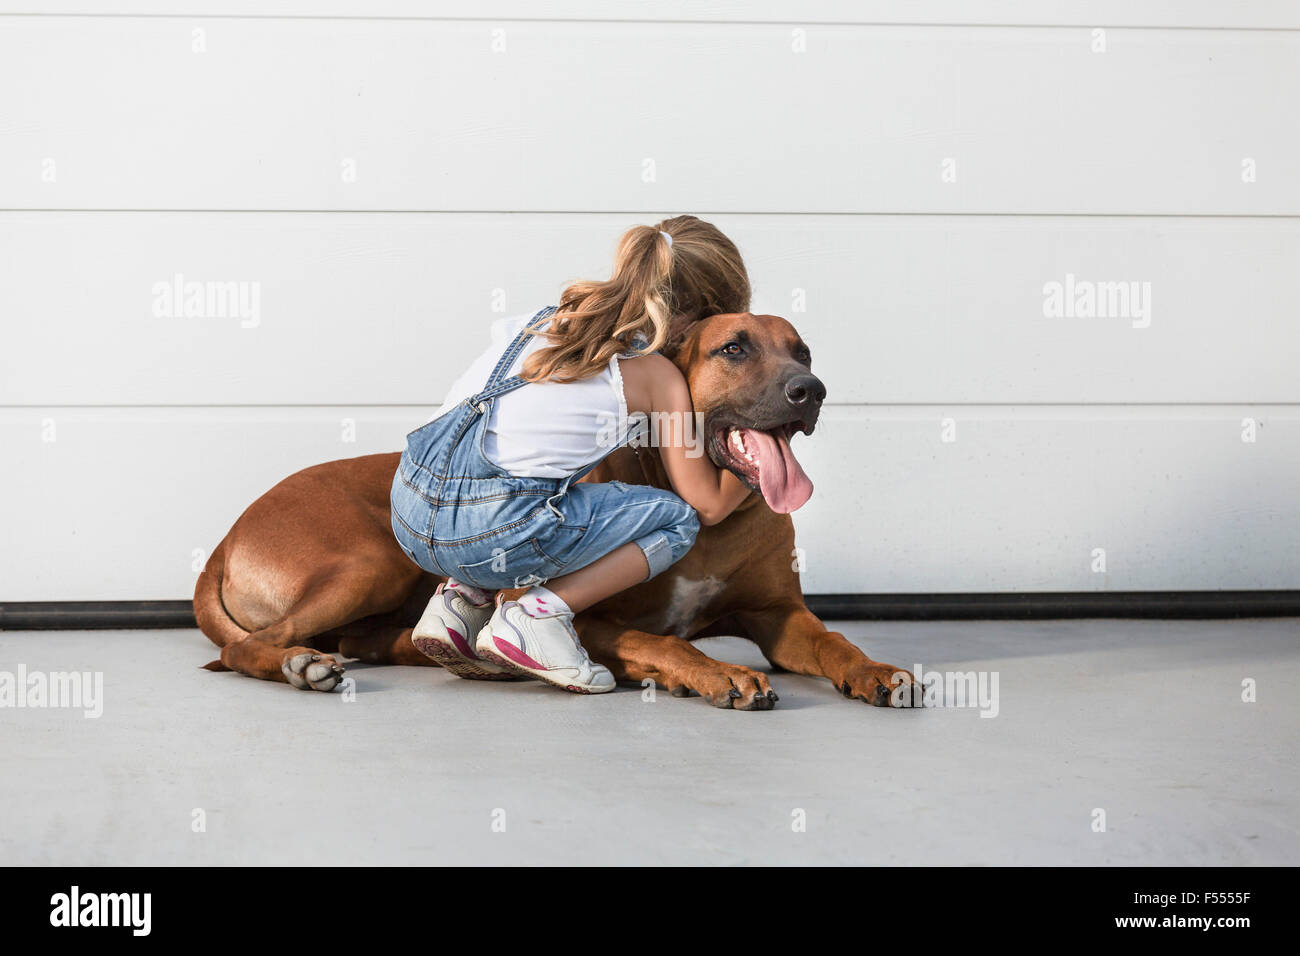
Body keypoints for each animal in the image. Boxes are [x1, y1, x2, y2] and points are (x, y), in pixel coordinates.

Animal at [197, 314, 920, 712]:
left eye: (804, 352)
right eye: (734, 349)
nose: (810, 390)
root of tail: (224, 539)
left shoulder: (778, 614)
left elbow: (831, 639)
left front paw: (876, 670)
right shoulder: (593, 618)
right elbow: (657, 640)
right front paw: (716, 673)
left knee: (362, 640)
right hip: (370, 561)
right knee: (248, 647)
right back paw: (302, 665)